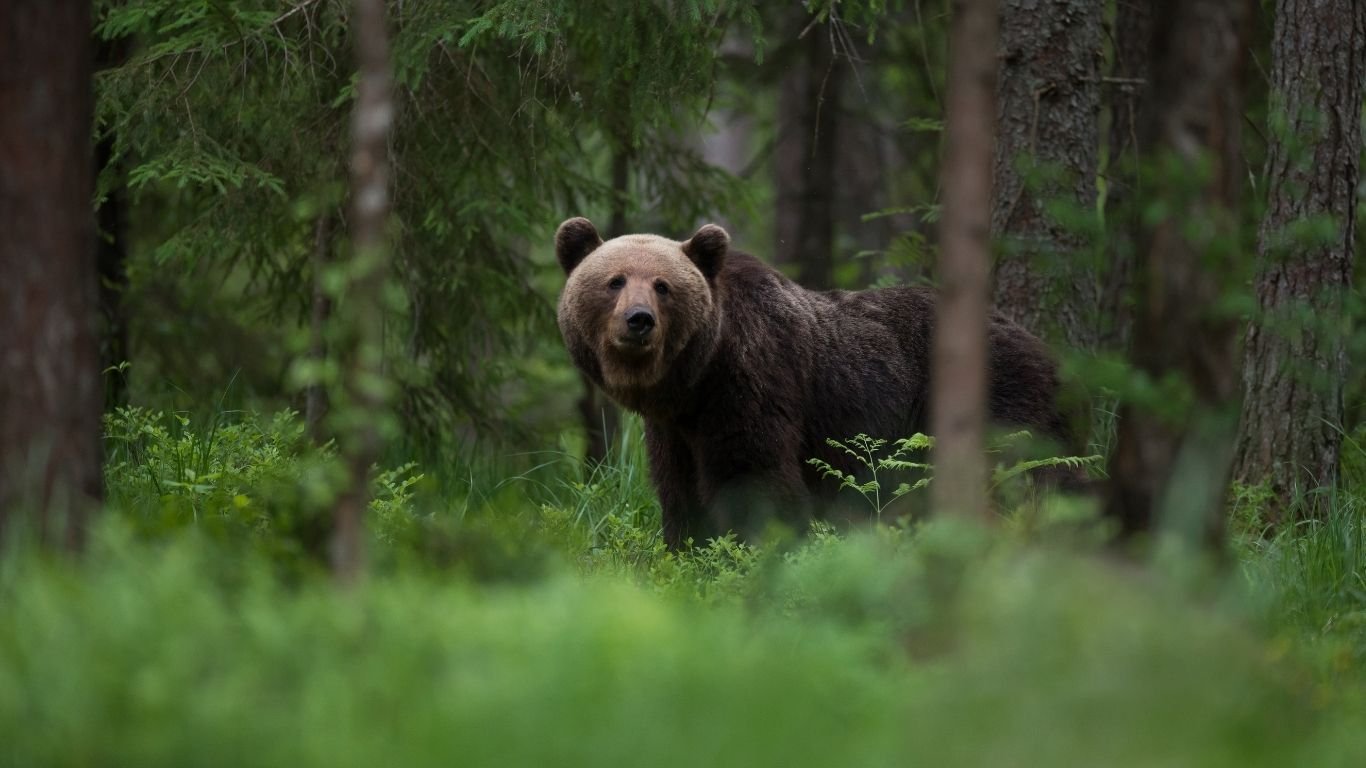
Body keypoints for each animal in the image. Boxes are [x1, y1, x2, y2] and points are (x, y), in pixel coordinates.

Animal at [555, 217, 1079, 549]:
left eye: (663, 286)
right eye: (615, 281)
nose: (639, 321)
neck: (696, 379)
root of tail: (1049, 351)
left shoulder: (753, 379)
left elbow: (753, 475)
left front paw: (754, 549)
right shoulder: (676, 427)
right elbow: (678, 488)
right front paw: (687, 549)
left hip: (1000, 395)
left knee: (1020, 477)